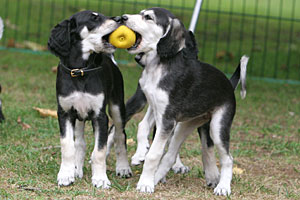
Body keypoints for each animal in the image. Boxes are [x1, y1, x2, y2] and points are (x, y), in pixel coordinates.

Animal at [47, 10, 131, 189]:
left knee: (120, 136)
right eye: (94, 18)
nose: (119, 19)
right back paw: (77, 169)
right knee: (80, 142)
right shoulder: (65, 113)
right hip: (79, 115)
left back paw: (123, 167)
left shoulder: (100, 116)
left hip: (117, 107)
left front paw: (100, 179)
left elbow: (99, 151)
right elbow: (68, 146)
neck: (80, 71)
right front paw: (66, 174)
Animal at [122, 7, 248, 195]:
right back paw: (157, 178)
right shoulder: (157, 111)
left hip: (217, 127)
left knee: (228, 159)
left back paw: (223, 187)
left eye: (148, 17)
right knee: (170, 155)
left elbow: (153, 155)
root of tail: (228, 84)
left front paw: (145, 183)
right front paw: (142, 159)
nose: (122, 18)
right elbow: (144, 131)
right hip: (184, 126)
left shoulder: (166, 120)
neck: (159, 67)